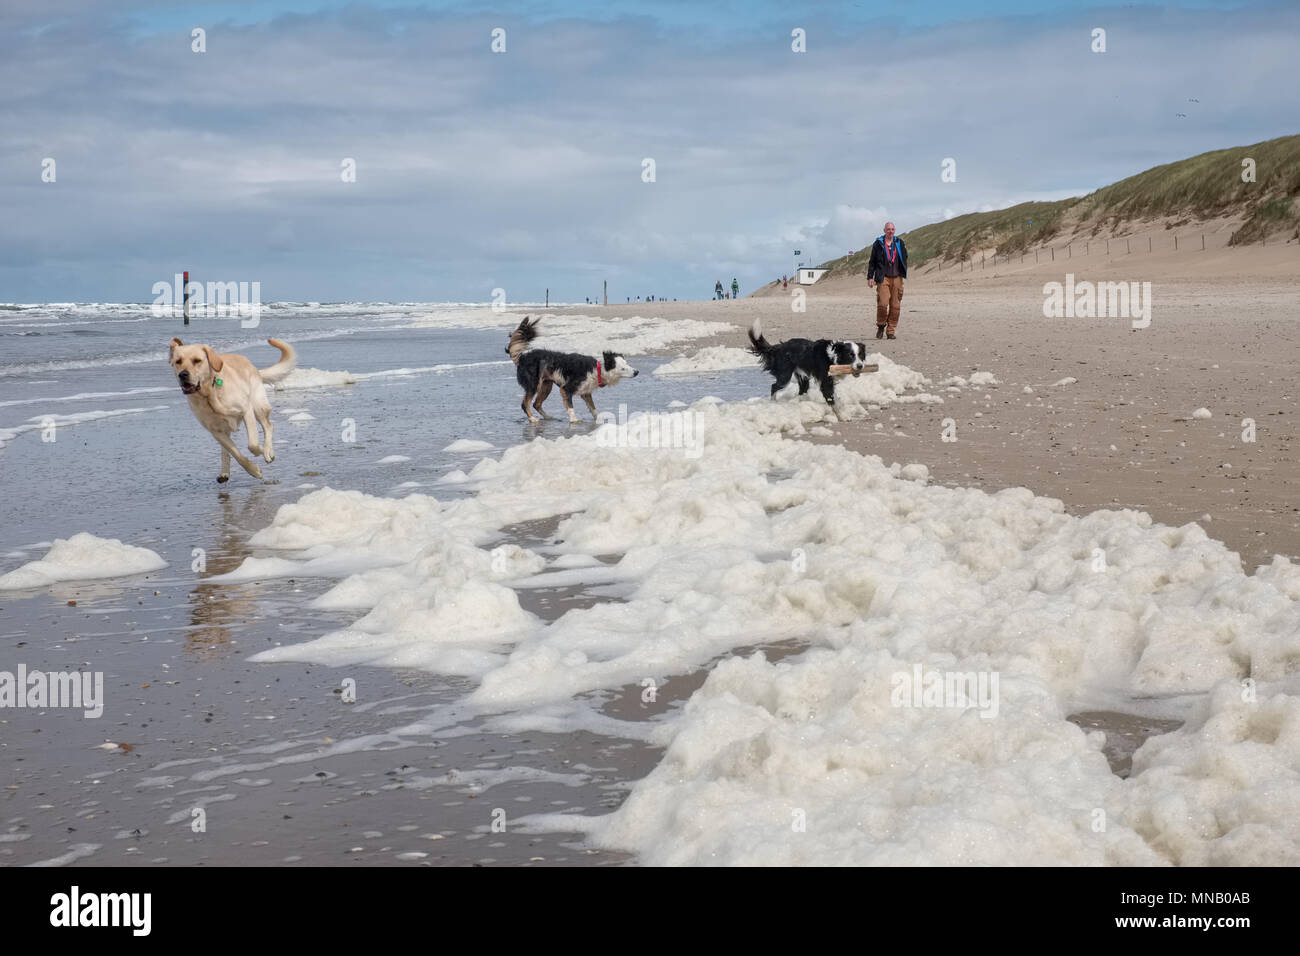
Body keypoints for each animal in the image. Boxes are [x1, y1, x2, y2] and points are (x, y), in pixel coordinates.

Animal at [169, 340, 296, 481]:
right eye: (178, 361)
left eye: (197, 360)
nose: (182, 374)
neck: (210, 394)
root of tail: (254, 368)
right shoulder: (215, 430)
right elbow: (235, 453)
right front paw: (253, 470)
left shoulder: (246, 410)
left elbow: (252, 444)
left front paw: (262, 450)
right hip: (225, 428)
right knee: (226, 449)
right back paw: (224, 472)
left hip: (258, 406)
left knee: (268, 426)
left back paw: (268, 450)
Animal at [504, 317, 637, 421]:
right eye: (623, 368)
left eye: (627, 364)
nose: (637, 372)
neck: (597, 370)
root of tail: (522, 357)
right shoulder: (566, 388)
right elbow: (570, 407)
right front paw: (574, 420)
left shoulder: (586, 392)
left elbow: (593, 408)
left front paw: (598, 418)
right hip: (533, 384)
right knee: (525, 403)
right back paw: (532, 419)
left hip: (546, 385)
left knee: (536, 404)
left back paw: (548, 417)